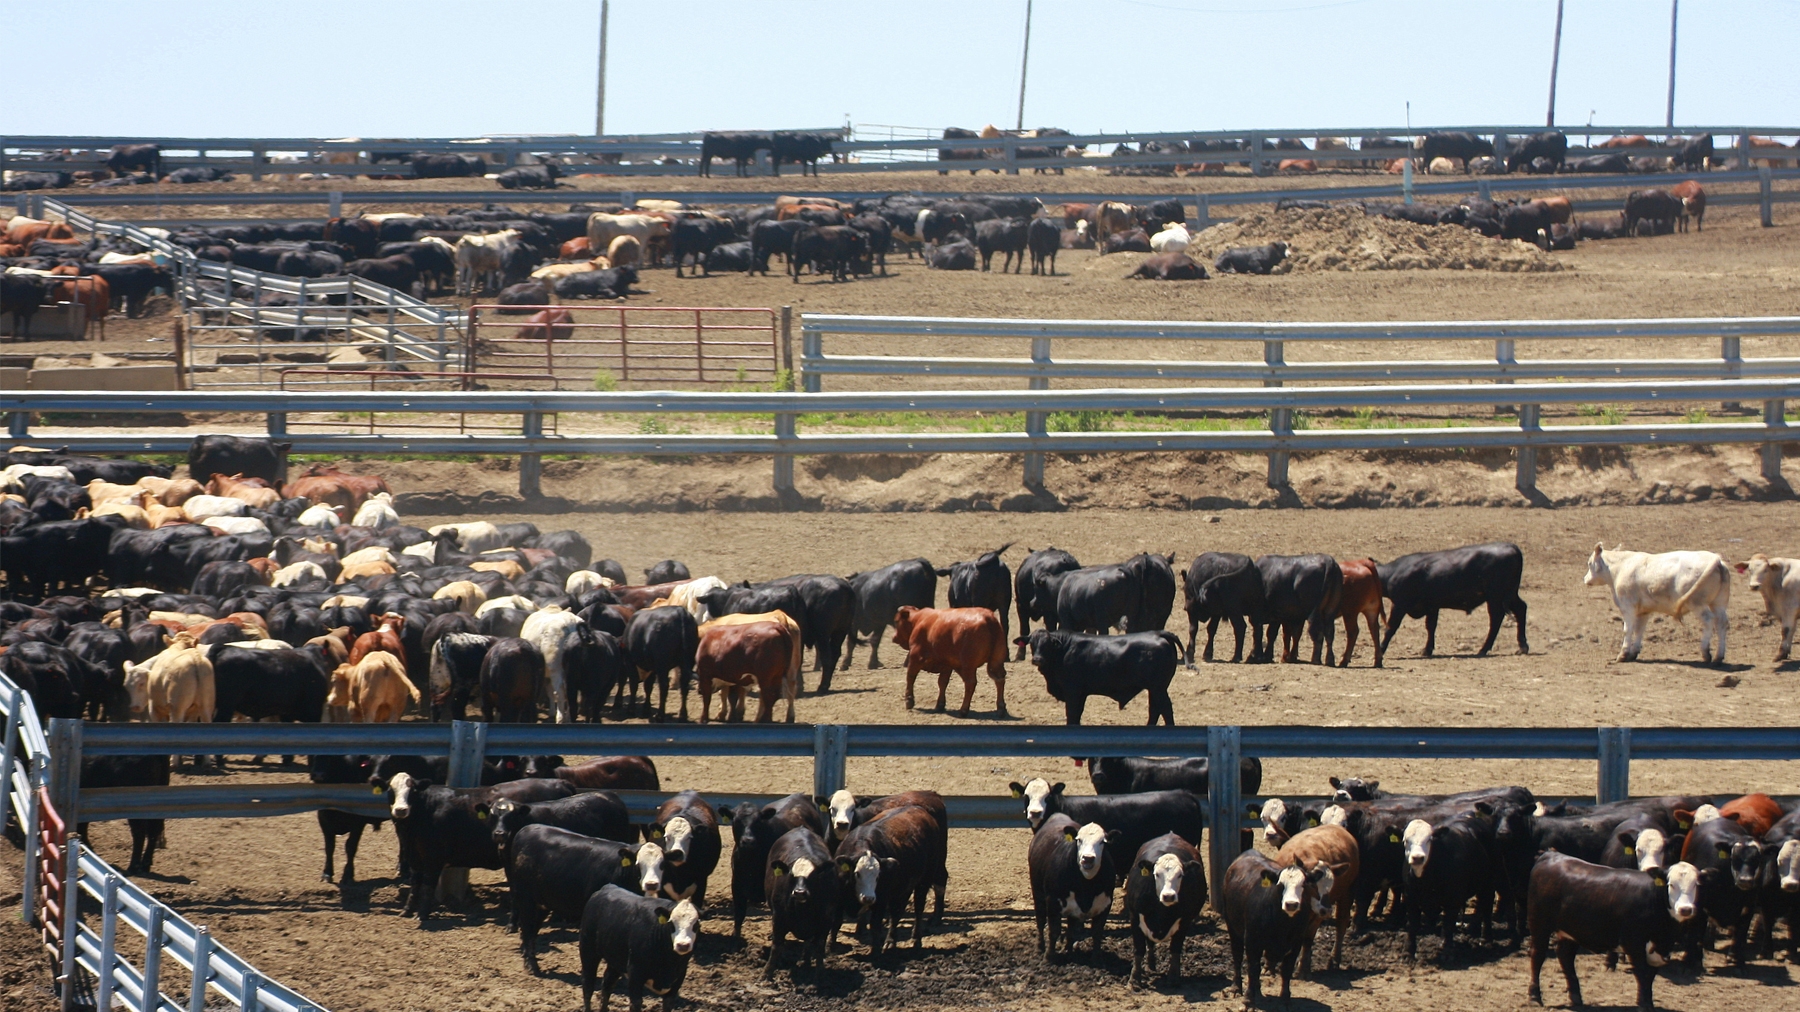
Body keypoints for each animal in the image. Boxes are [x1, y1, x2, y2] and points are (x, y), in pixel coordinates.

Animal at [1029, 623, 1180, 723]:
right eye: (1032, 643)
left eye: (1047, 644)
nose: (1037, 659)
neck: (1064, 649)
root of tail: (1157, 633)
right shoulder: (1081, 693)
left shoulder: (1072, 691)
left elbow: (1072, 714)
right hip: (1154, 689)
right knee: (1155, 710)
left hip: (1158, 688)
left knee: (1165, 709)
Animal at [1274, 824, 1353, 972]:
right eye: (1310, 883)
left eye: (1331, 885)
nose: (1326, 910)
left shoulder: (1316, 915)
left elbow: (1307, 938)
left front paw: (1302, 968)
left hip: (1347, 894)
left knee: (1341, 923)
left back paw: (1333, 959)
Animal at [1375, 540, 1533, 659]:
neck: (1392, 573)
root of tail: (1510, 547)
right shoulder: (1432, 606)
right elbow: (1430, 626)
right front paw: (1427, 649)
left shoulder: (1399, 604)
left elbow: (1391, 627)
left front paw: (1381, 649)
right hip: (1510, 595)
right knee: (1521, 609)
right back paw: (1522, 646)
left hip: (1496, 597)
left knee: (1496, 619)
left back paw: (1483, 649)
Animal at [1591, 543, 1728, 662]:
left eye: (1589, 563)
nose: (1586, 580)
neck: (1620, 567)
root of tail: (1716, 560)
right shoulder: (1644, 611)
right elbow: (1639, 630)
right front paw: (1633, 653)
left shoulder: (1627, 607)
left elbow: (1628, 629)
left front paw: (1623, 655)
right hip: (1719, 603)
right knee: (1721, 623)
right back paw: (1718, 657)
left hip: (1697, 603)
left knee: (1709, 621)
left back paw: (1706, 653)